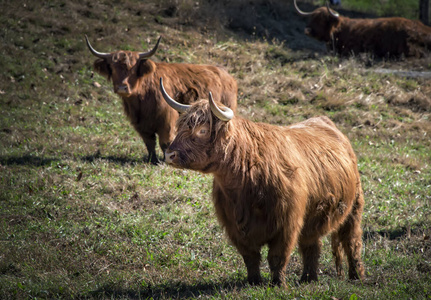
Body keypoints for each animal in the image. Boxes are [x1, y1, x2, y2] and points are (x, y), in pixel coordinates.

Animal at [85, 35, 238, 164]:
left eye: (134, 69)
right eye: (112, 67)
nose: (122, 87)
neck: (141, 101)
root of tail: (227, 75)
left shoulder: (166, 120)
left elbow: (165, 141)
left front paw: (165, 160)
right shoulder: (140, 124)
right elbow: (149, 142)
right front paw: (152, 160)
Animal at [160, 78, 366, 288]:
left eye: (202, 130)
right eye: (180, 127)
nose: (169, 154)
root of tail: (325, 121)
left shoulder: (287, 223)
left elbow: (277, 256)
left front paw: (278, 283)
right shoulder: (235, 226)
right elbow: (250, 257)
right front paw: (254, 281)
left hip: (353, 207)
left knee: (352, 241)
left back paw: (356, 276)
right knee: (312, 244)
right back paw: (308, 278)